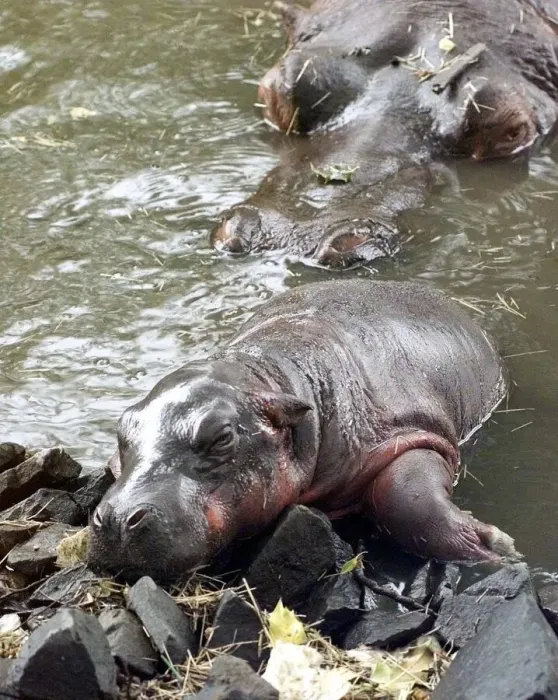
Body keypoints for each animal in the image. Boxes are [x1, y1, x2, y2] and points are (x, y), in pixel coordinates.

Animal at [89, 280, 518, 582]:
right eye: (123, 430)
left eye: (222, 437)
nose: (118, 519)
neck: (272, 373)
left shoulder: (410, 431)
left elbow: (406, 497)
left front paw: (498, 546)